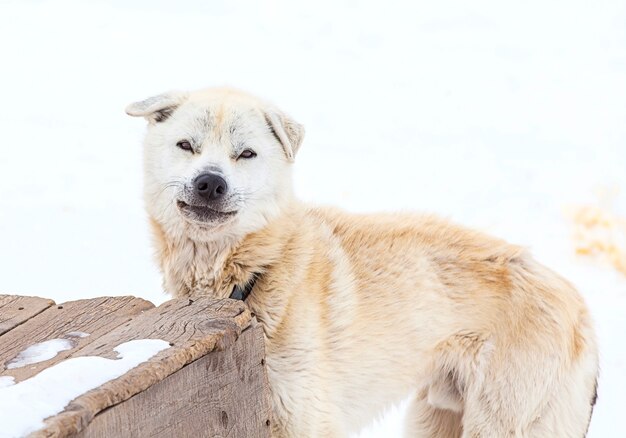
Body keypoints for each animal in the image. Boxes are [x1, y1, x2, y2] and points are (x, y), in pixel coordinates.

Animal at [125, 87, 596, 436]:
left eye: (246, 154)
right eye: (186, 146)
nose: (210, 182)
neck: (257, 271)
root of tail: (578, 305)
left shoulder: (307, 421)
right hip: (433, 419)